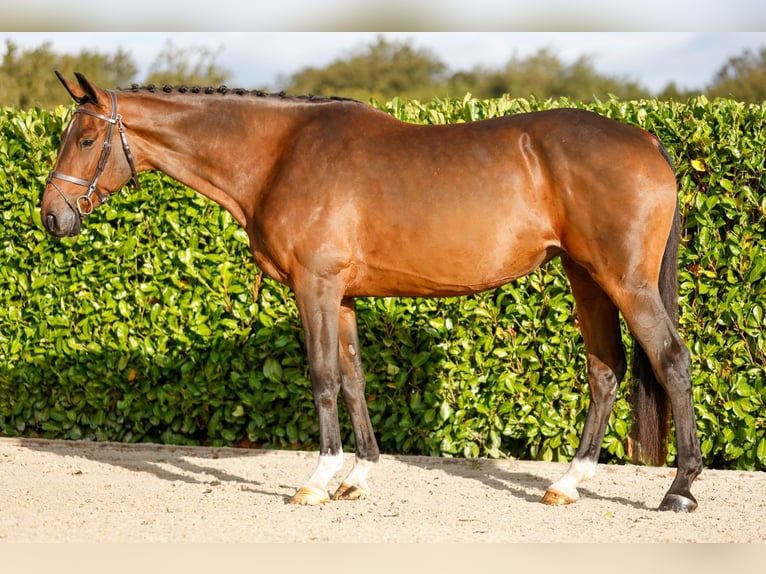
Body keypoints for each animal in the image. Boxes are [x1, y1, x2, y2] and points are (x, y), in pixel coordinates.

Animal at [40, 73, 704, 512]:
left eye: (84, 140)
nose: (51, 216)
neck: (278, 155)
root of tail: (646, 140)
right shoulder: (342, 296)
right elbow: (355, 379)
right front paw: (358, 476)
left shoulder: (314, 285)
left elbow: (323, 378)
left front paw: (317, 479)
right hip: (585, 277)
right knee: (605, 369)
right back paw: (568, 483)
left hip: (626, 282)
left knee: (671, 360)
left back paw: (680, 489)